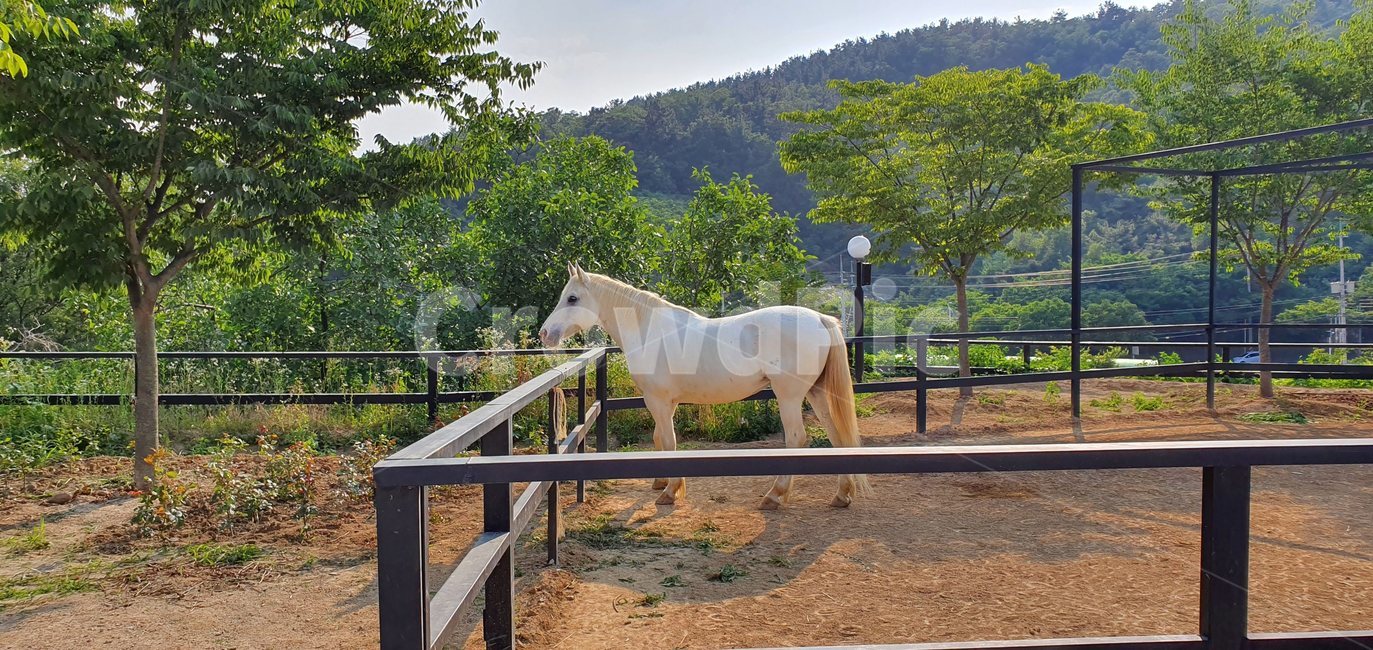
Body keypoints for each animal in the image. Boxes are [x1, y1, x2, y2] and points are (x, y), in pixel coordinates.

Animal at [538, 263, 869, 510]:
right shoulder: (665, 403)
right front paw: (661, 482)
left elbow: (669, 443)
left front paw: (670, 493)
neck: (649, 330)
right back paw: (842, 495)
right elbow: (660, 440)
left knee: (797, 439)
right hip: (817, 393)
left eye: (572, 298)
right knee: (837, 436)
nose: (544, 334)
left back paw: (774, 496)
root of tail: (822, 319)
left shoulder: (657, 400)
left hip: (789, 397)